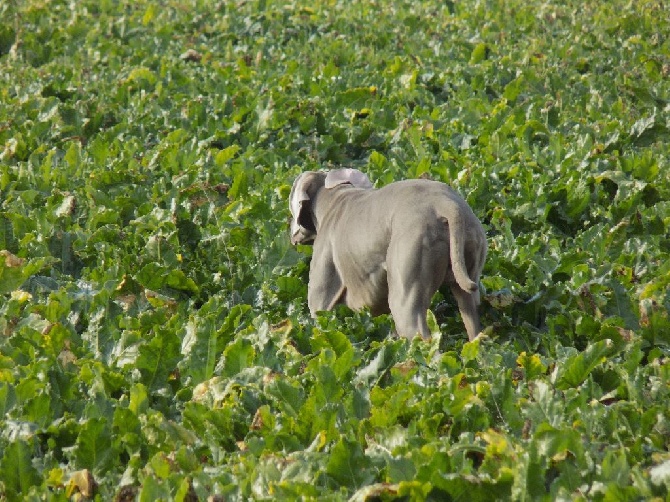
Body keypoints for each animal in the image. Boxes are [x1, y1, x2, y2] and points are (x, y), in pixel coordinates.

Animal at [288, 169, 488, 342]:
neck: (333, 196)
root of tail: (446, 204)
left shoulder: (321, 292)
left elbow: (319, 315)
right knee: (471, 313)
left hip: (409, 263)